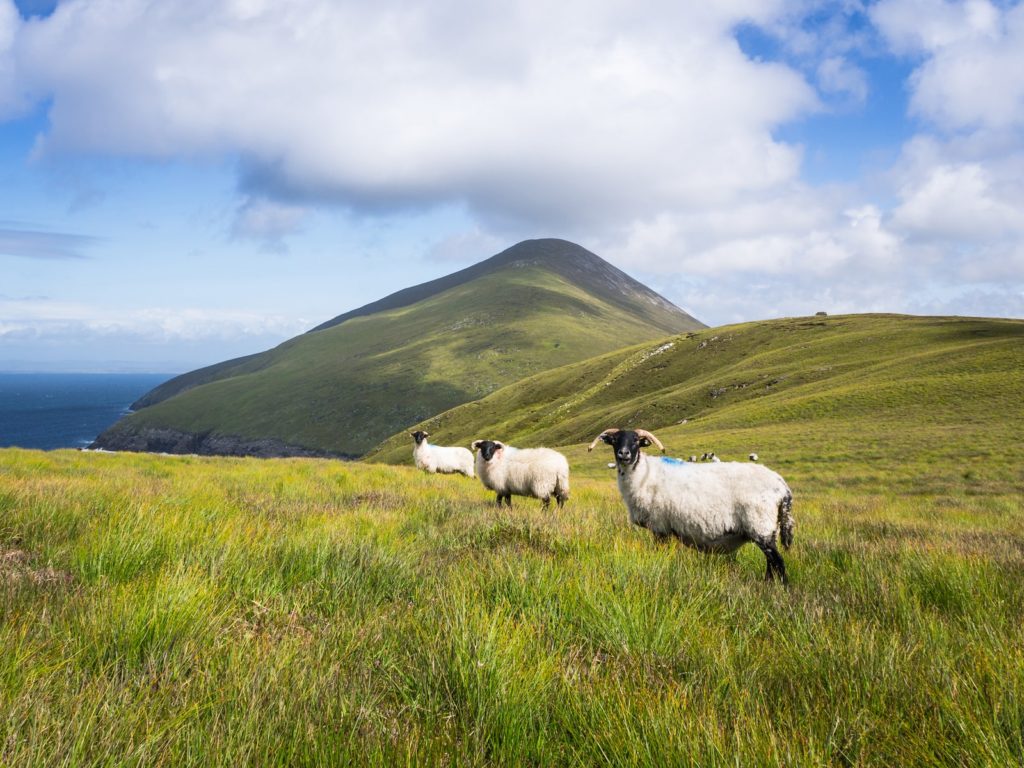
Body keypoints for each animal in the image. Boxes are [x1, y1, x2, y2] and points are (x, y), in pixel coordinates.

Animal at [589, 428, 794, 581]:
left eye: (636, 441)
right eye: (615, 440)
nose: (624, 454)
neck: (643, 474)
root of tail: (782, 485)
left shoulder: (660, 526)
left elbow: (660, 553)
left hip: (760, 525)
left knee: (778, 563)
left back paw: (780, 589)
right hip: (769, 528)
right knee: (771, 564)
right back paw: (768, 585)